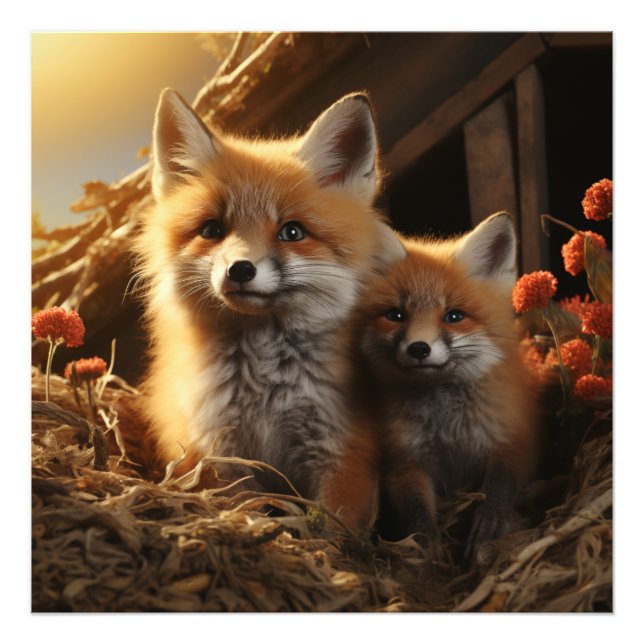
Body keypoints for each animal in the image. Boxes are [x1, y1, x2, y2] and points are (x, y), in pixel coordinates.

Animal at [132, 88, 404, 532]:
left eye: (292, 232)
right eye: (212, 230)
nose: (241, 269)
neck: (266, 393)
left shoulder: (342, 450)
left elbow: (335, 532)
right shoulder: (221, 456)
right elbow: (246, 512)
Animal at [354, 212, 538, 558]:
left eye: (454, 316)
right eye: (395, 315)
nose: (419, 348)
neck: (448, 429)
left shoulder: (511, 440)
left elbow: (500, 488)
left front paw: (490, 523)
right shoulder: (405, 462)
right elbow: (418, 516)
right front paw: (428, 552)